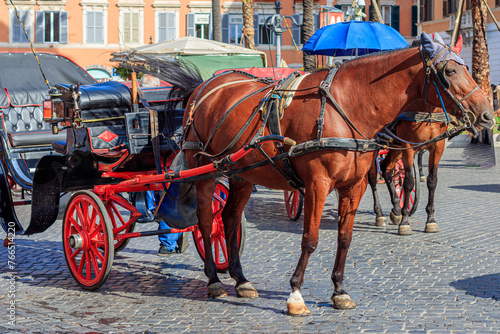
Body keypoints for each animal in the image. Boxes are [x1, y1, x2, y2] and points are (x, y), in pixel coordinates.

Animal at [368, 102, 450, 235]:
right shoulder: (408, 146)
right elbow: (408, 182)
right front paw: (405, 222)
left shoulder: (438, 145)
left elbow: (432, 181)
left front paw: (431, 220)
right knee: (372, 176)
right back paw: (380, 214)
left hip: (396, 146)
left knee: (386, 168)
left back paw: (396, 209)